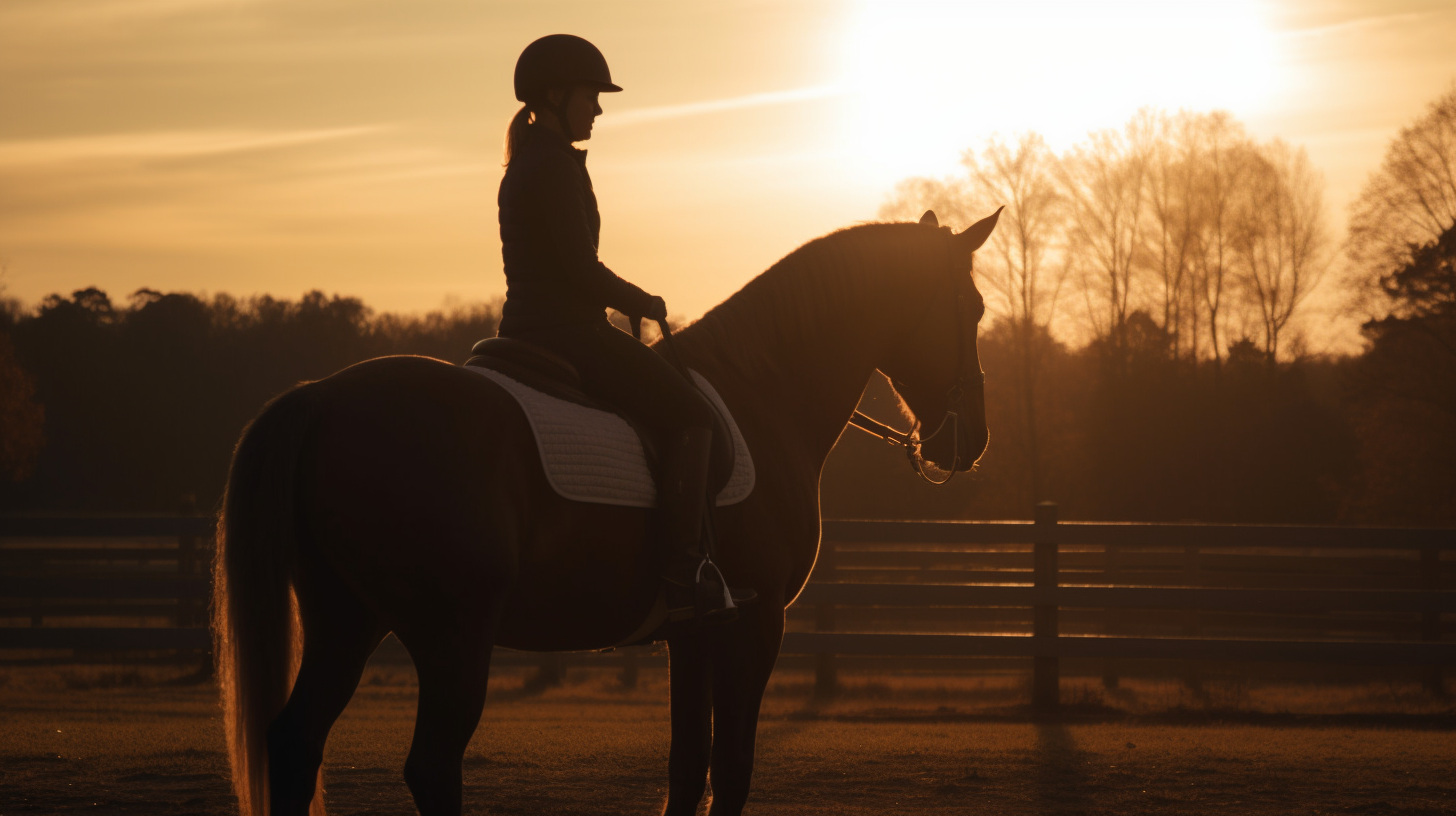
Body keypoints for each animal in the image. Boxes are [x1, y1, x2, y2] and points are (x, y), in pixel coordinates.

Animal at [212, 206, 1001, 810]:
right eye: (972, 309)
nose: (970, 442)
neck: (762, 390)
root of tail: (322, 397)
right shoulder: (757, 625)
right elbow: (732, 772)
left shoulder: (698, 632)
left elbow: (688, 769)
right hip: (450, 632)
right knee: (430, 767)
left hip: (347, 616)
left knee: (295, 743)